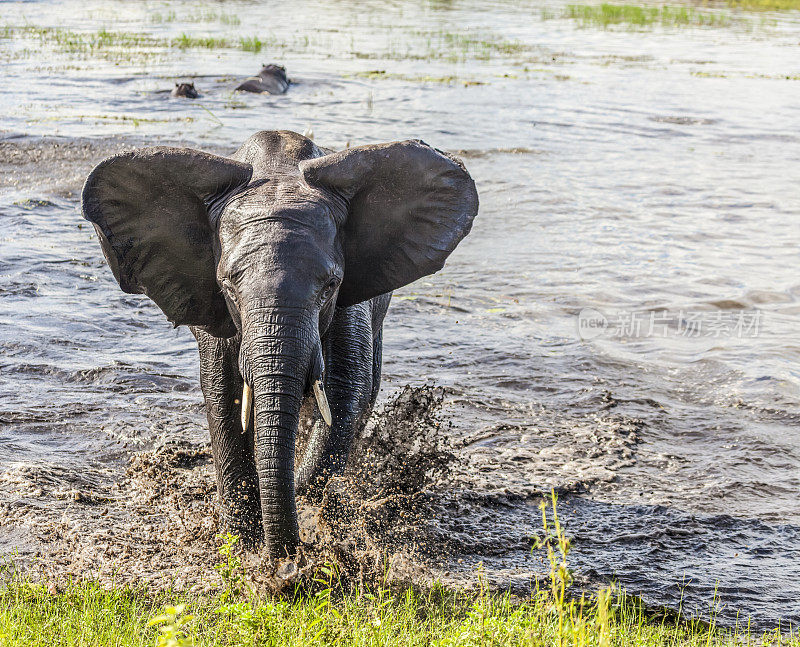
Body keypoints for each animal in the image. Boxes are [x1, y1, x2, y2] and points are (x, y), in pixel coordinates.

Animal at [82, 129, 478, 560]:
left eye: (331, 286)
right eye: (227, 287)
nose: (285, 563)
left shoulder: (349, 305)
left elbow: (345, 393)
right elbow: (223, 398)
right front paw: (242, 546)